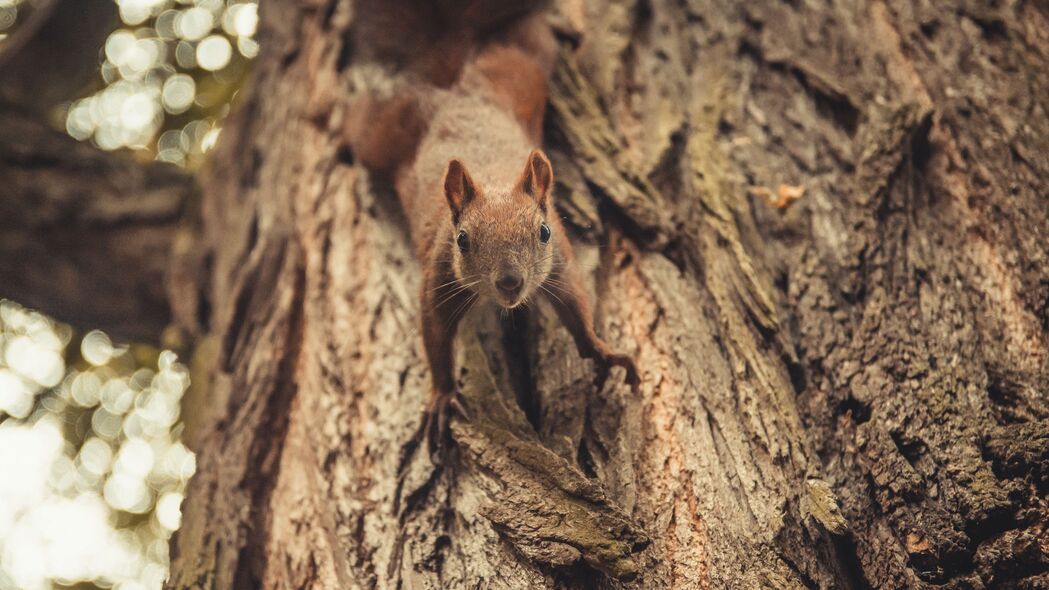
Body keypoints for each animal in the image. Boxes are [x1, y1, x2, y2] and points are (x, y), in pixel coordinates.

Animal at [344, 6, 637, 447]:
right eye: (463, 240)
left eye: (543, 232)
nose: (511, 283)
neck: (494, 179)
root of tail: (453, 87)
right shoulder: (440, 272)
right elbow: (434, 333)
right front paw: (443, 395)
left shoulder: (558, 260)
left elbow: (574, 303)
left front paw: (600, 349)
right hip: (388, 136)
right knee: (365, 122)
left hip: (520, 72)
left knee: (526, 37)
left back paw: (561, 27)